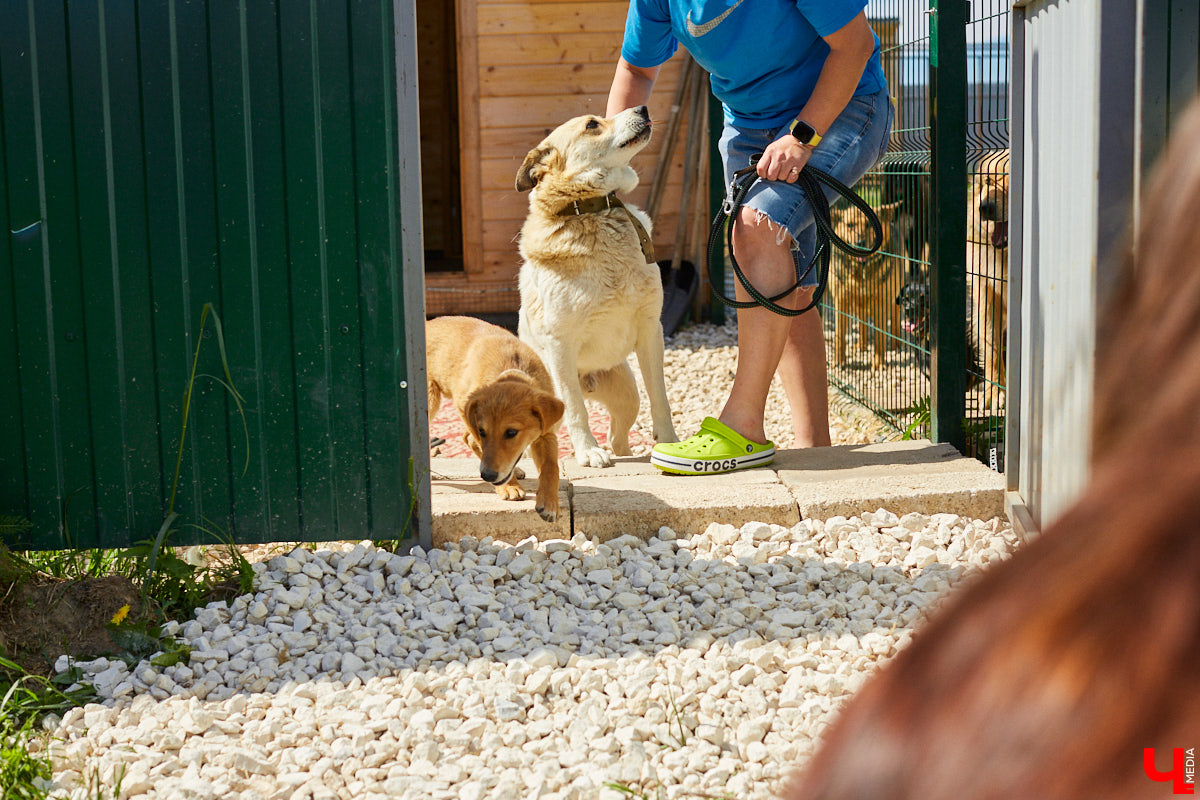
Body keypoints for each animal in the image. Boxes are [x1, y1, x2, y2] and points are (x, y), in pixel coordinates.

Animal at [427, 316, 566, 522]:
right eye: (483, 431)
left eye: (511, 432)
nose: (487, 475)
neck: (512, 369)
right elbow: (479, 445)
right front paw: (509, 487)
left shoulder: (546, 432)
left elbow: (551, 467)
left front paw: (549, 504)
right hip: (431, 401)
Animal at [516, 106, 681, 470]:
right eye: (593, 125)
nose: (643, 108)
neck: (594, 210)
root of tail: (586, 378)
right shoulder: (560, 343)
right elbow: (577, 411)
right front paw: (588, 452)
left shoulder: (651, 330)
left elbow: (660, 397)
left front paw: (671, 443)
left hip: (627, 395)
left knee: (618, 437)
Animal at [830, 200, 902, 369]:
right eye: (850, 225)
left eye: (870, 225)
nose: (860, 243)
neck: (861, 270)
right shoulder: (840, 301)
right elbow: (840, 335)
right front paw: (839, 361)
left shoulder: (882, 302)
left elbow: (880, 338)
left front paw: (879, 363)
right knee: (862, 322)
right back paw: (861, 345)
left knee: (895, 318)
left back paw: (895, 344)